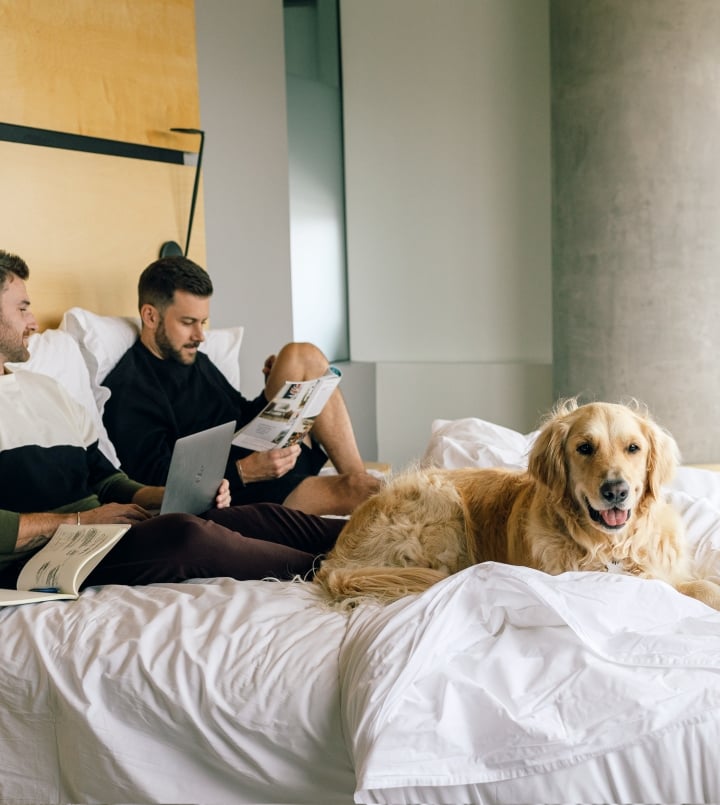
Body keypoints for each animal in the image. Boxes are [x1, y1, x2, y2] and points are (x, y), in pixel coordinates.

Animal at [314, 398, 720, 612]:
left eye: (633, 448)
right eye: (584, 447)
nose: (616, 490)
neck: (609, 546)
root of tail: (333, 559)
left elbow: (699, 582)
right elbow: (682, 589)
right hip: (439, 500)